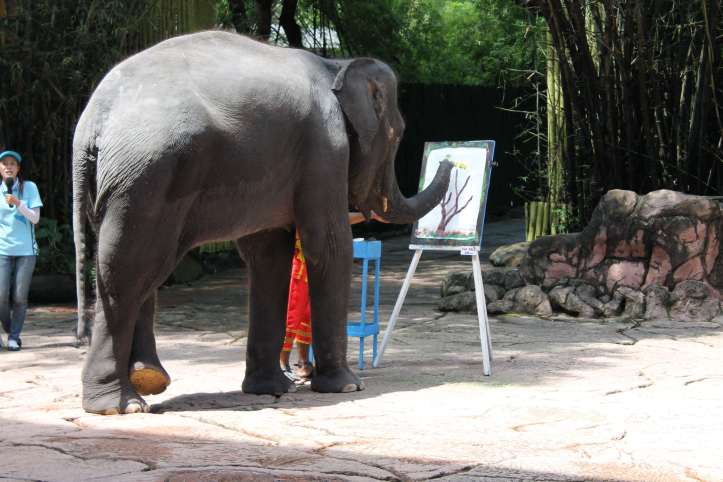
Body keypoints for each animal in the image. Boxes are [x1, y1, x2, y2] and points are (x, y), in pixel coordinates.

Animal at [72, 30, 453, 415]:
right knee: (130, 270)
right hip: (149, 174)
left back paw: (147, 379)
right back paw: (118, 405)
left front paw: (269, 389)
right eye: (398, 133)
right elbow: (328, 244)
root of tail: (94, 121)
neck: (336, 64)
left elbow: (268, 255)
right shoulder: (326, 147)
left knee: (130, 264)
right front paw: (347, 386)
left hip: (124, 184)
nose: (449, 160)